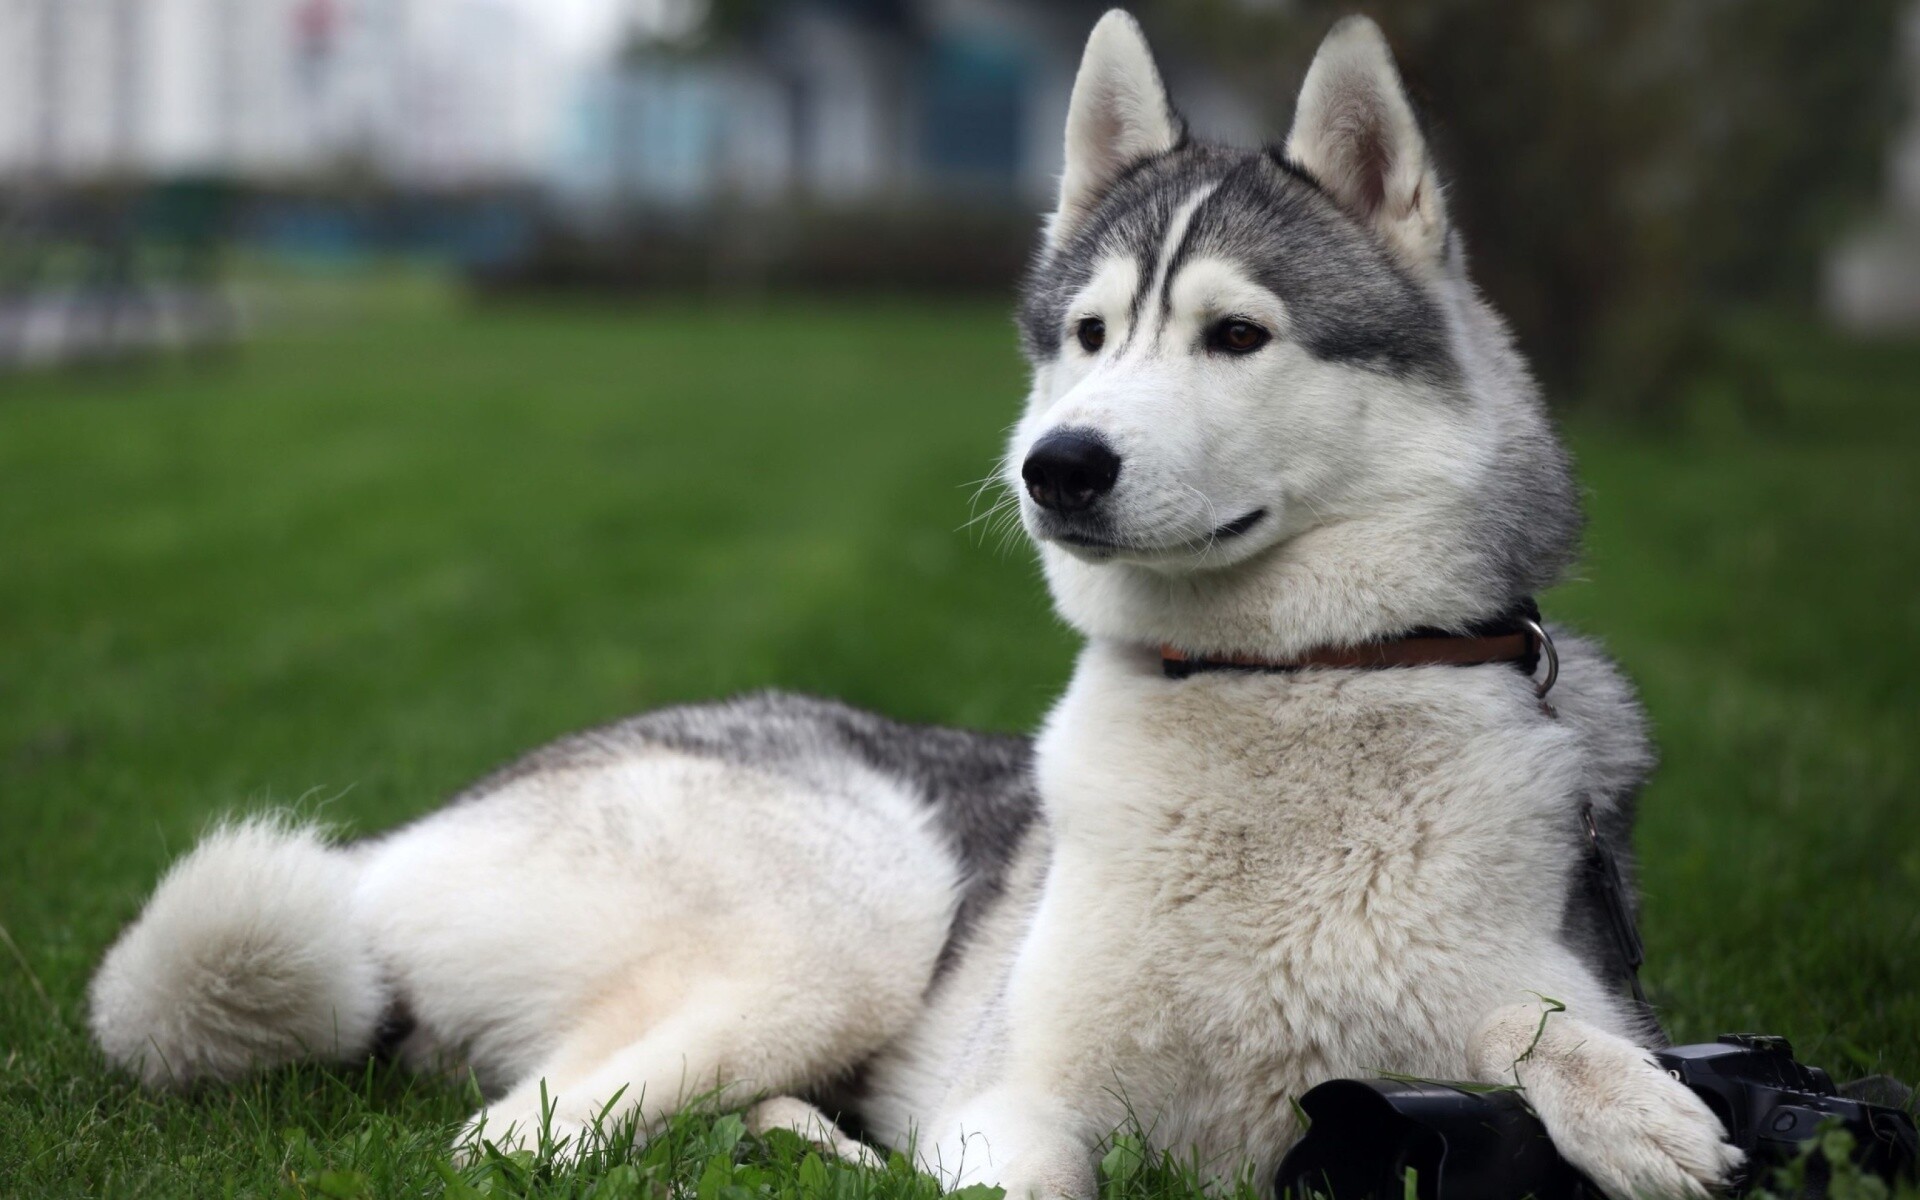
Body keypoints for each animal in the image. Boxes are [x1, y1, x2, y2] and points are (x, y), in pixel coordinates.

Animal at [86, 16, 1743, 1198]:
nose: (1056, 465)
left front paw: (1632, 1108)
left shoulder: (1533, 988)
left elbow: (1543, 1024)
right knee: (519, 1138)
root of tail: (398, 845)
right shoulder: (1015, 1103)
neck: (1281, 687)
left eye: (1236, 334)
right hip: (861, 900)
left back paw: (809, 1144)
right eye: (1090, 334)